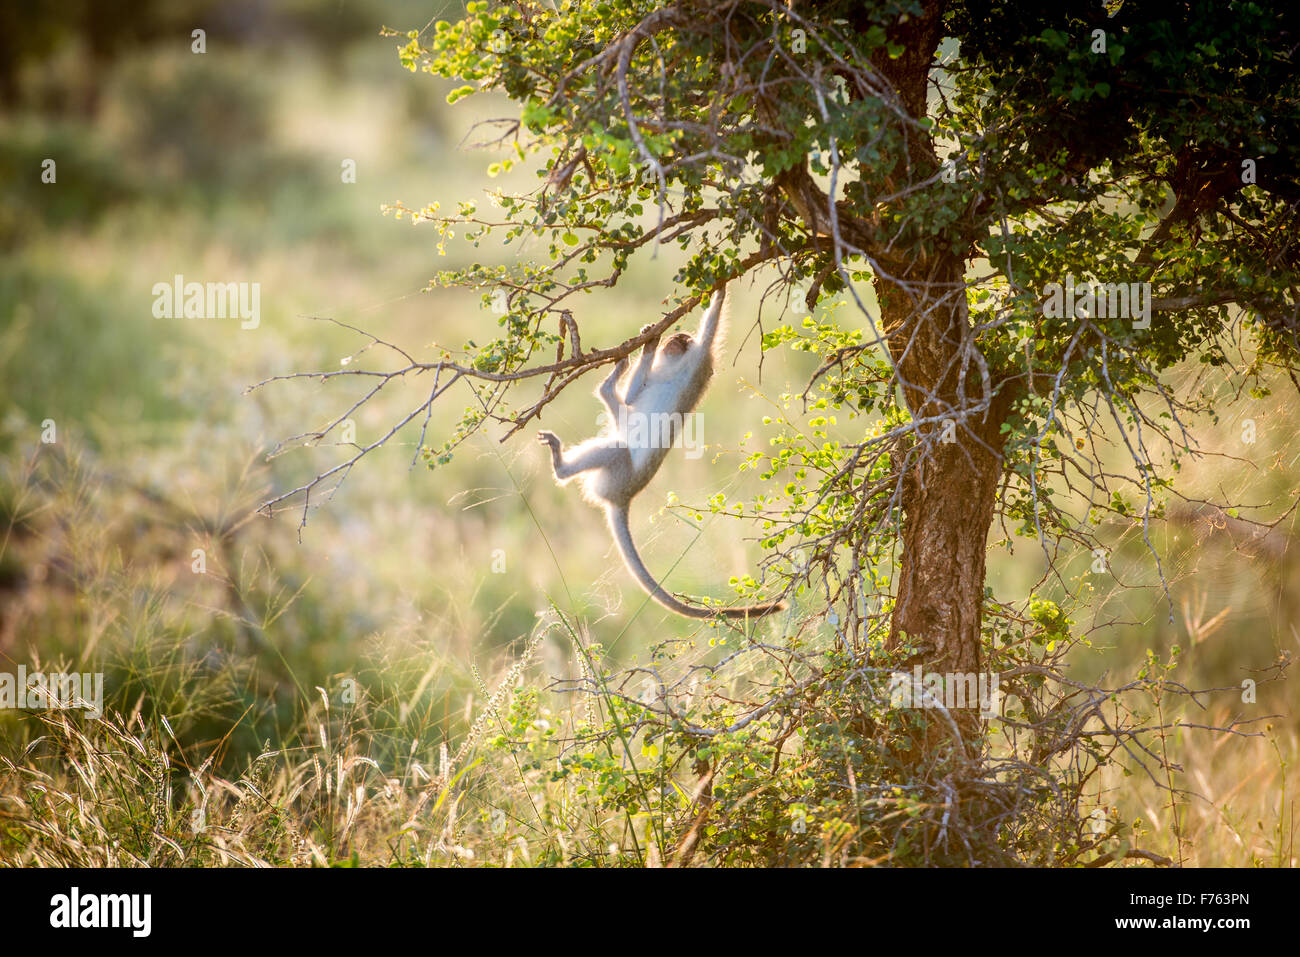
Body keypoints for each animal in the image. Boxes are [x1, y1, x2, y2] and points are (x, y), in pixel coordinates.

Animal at [535, 283, 780, 621]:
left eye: (679, 341)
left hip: (618, 473)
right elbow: (632, 394)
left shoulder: (700, 358)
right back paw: (613, 379)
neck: (677, 364)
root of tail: (623, 499)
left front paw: (717, 291)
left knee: (616, 447)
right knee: (615, 407)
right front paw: (647, 343)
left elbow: (712, 323)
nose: (670, 341)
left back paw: (562, 465)